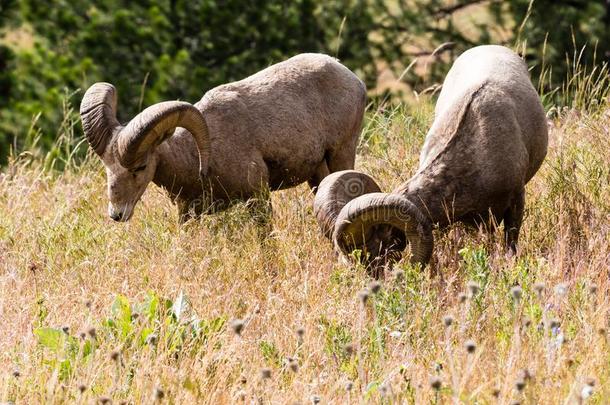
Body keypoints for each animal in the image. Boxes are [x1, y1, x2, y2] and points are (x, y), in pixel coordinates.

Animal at [82, 52, 366, 221]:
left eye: (140, 167)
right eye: (107, 168)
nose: (117, 214)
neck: (196, 157)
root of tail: (351, 77)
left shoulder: (257, 198)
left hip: (341, 154)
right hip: (317, 174)